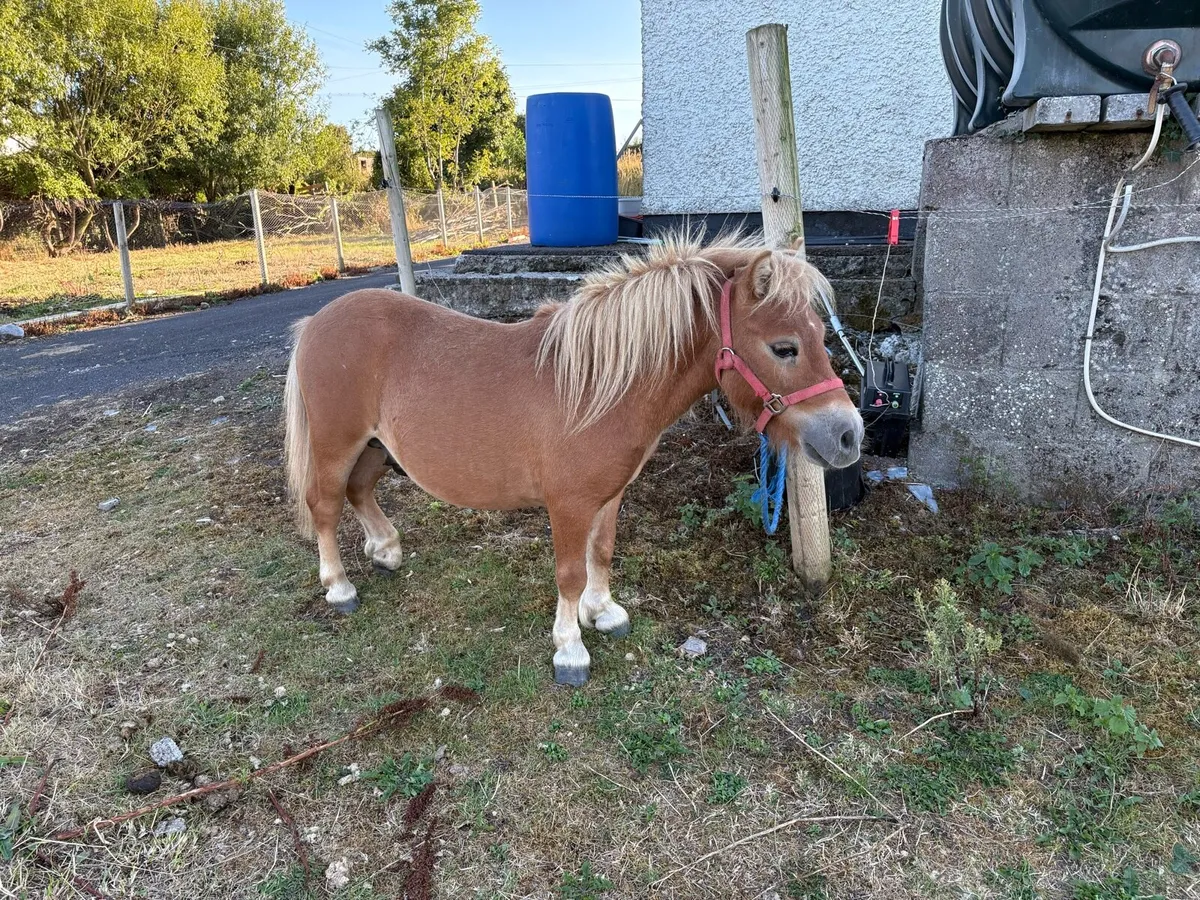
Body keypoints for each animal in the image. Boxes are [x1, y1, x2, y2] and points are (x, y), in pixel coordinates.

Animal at [282, 233, 863, 686]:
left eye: (820, 335)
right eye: (785, 347)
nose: (849, 435)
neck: (597, 386)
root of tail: (316, 321)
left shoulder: (609, 495)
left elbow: (600, 555)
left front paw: (602, 612)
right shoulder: (567, 504)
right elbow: (568, 574)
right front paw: (570, 649)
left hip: (376, 447)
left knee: (359, 491)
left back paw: (385, 550)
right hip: (337, 444)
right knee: (325, 505)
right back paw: (339, 586)